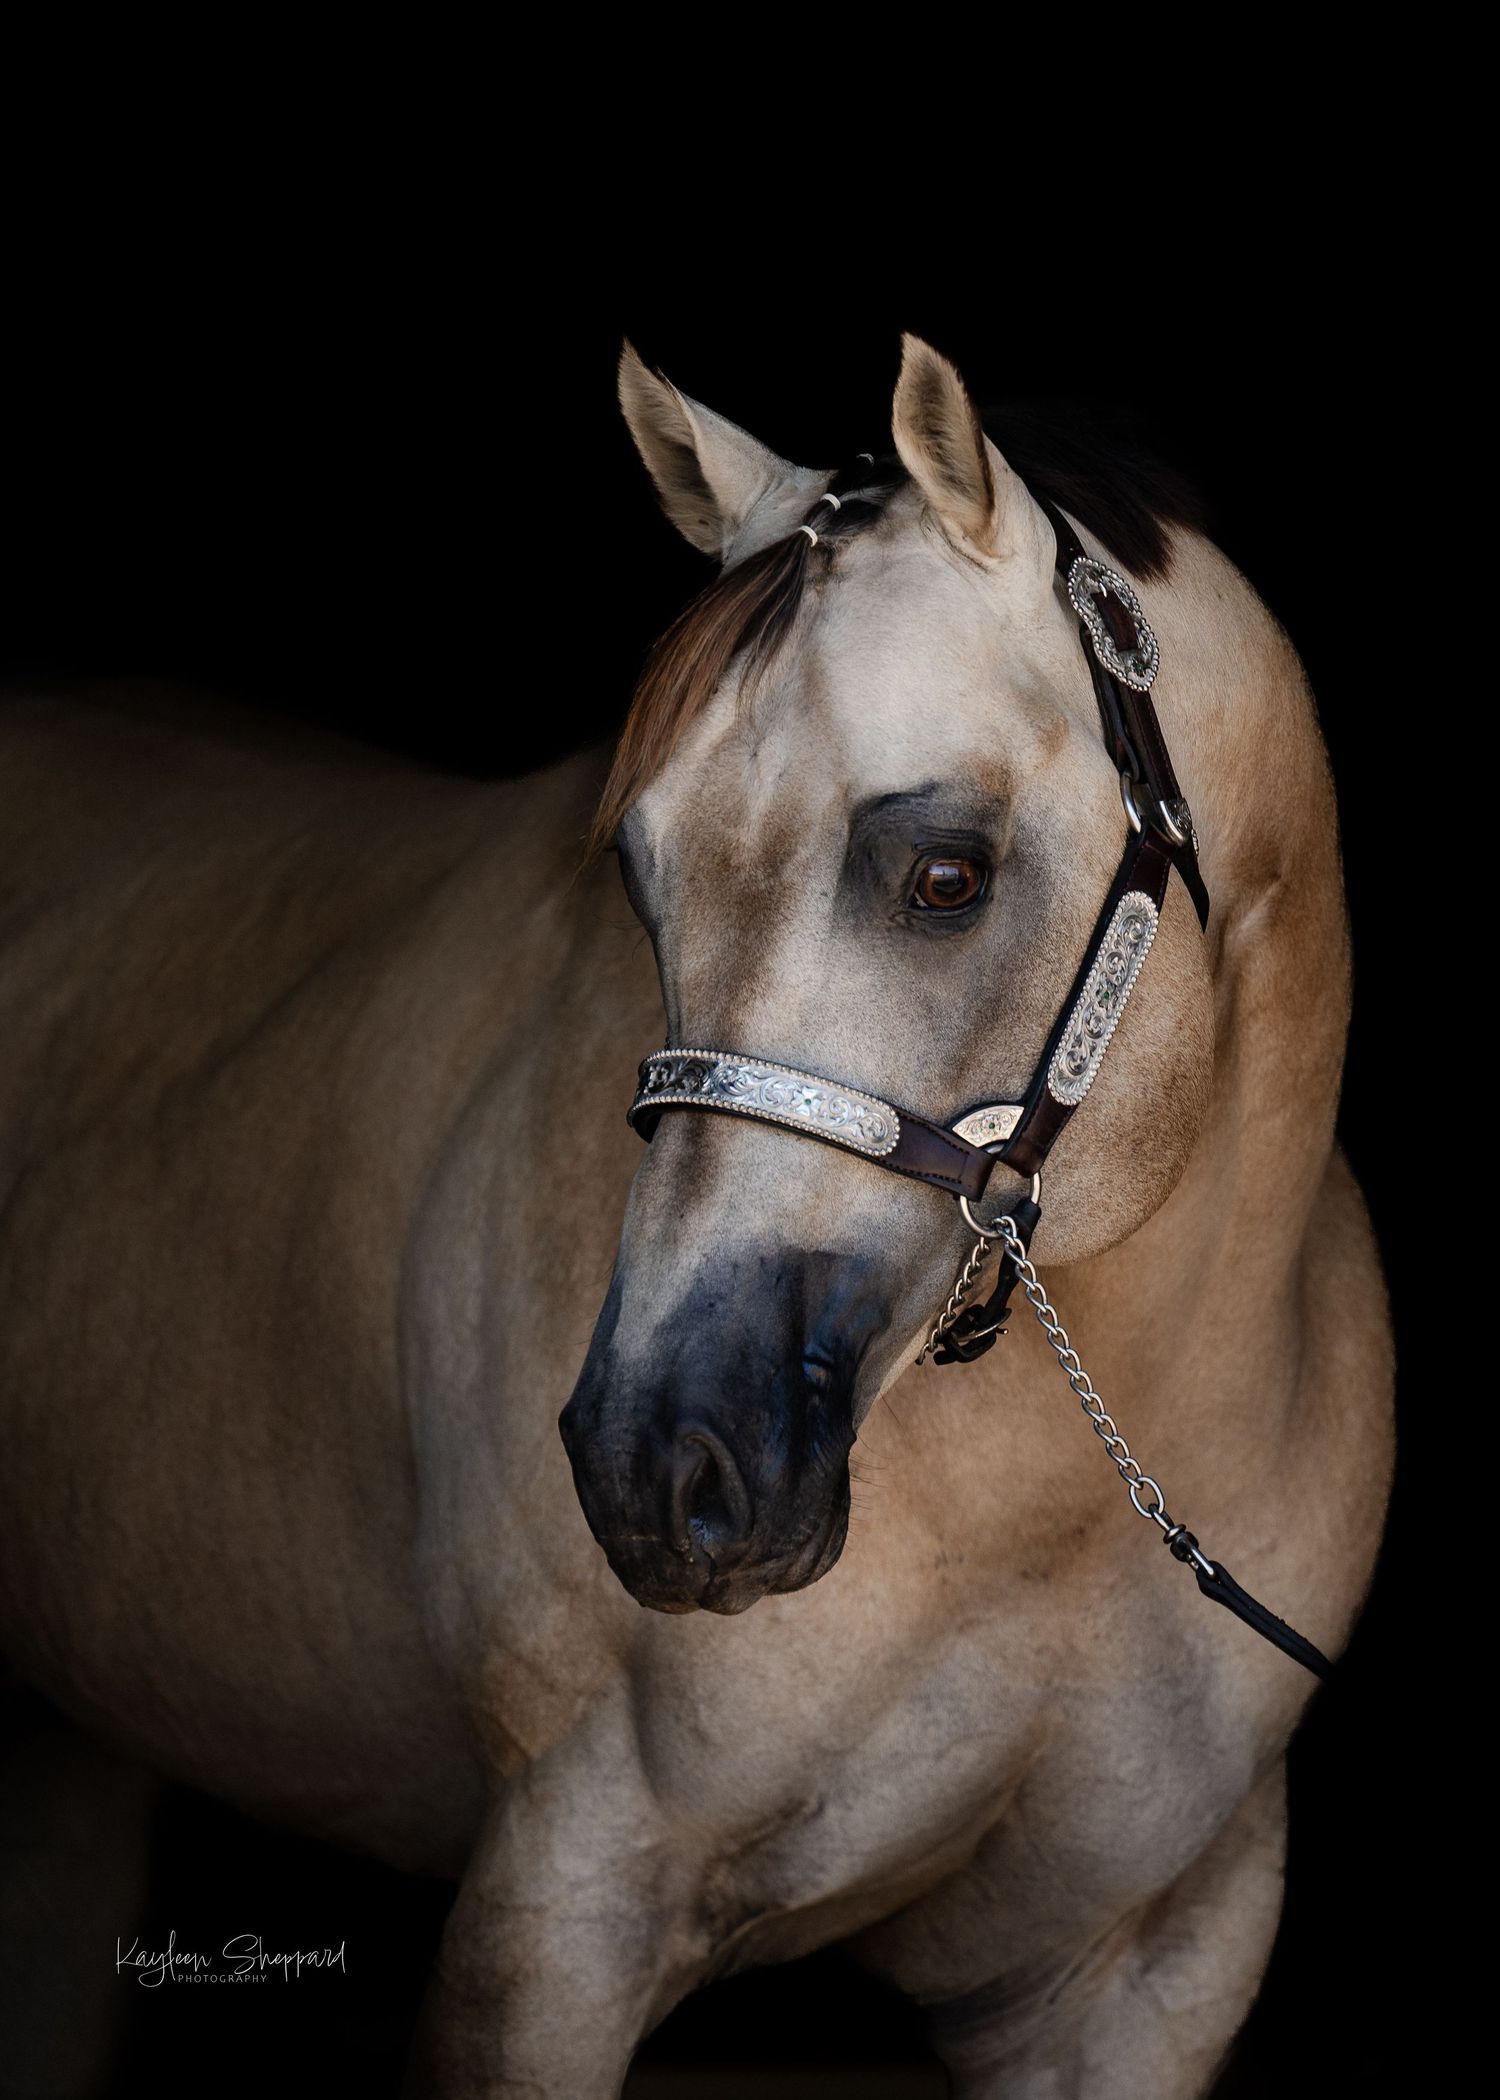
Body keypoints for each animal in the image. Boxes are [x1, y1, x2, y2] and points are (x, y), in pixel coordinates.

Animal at [0, 332, 1393, 2099]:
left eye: (947, 875)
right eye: (640, 880)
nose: (657, 1466)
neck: (1043, 1520)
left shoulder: (1144, 1971)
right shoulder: (563, 1914)